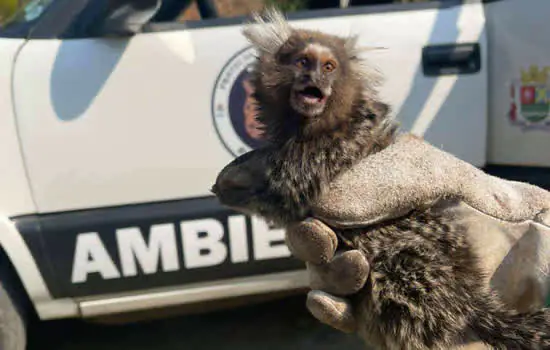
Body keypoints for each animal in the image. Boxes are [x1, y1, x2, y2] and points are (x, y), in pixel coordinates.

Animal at [212, 8, 550, 350]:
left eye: (329, 66)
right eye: (303, 62)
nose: (314, 78)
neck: (317, 127)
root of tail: (469, 298)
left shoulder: (330, 152)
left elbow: (283, 191)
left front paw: (235, 182)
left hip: (415, 271)